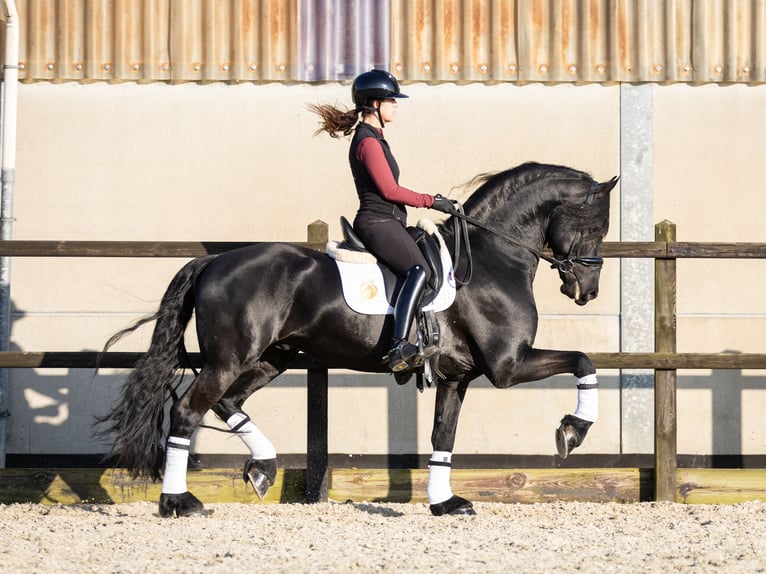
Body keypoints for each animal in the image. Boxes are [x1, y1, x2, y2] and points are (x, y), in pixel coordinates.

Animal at [97, 161, 616, 516]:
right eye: (594, 226)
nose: (587, 291)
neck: (490, 259)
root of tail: (214, 262)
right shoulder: (508, 365)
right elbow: (584, 360)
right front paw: (573, 430)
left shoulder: (458, 377)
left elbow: (443, 435)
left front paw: (444, 503)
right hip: (229, 359)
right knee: (188, 412)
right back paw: (179, 502)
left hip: (270, 358)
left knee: (228, 404)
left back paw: (263, 468)